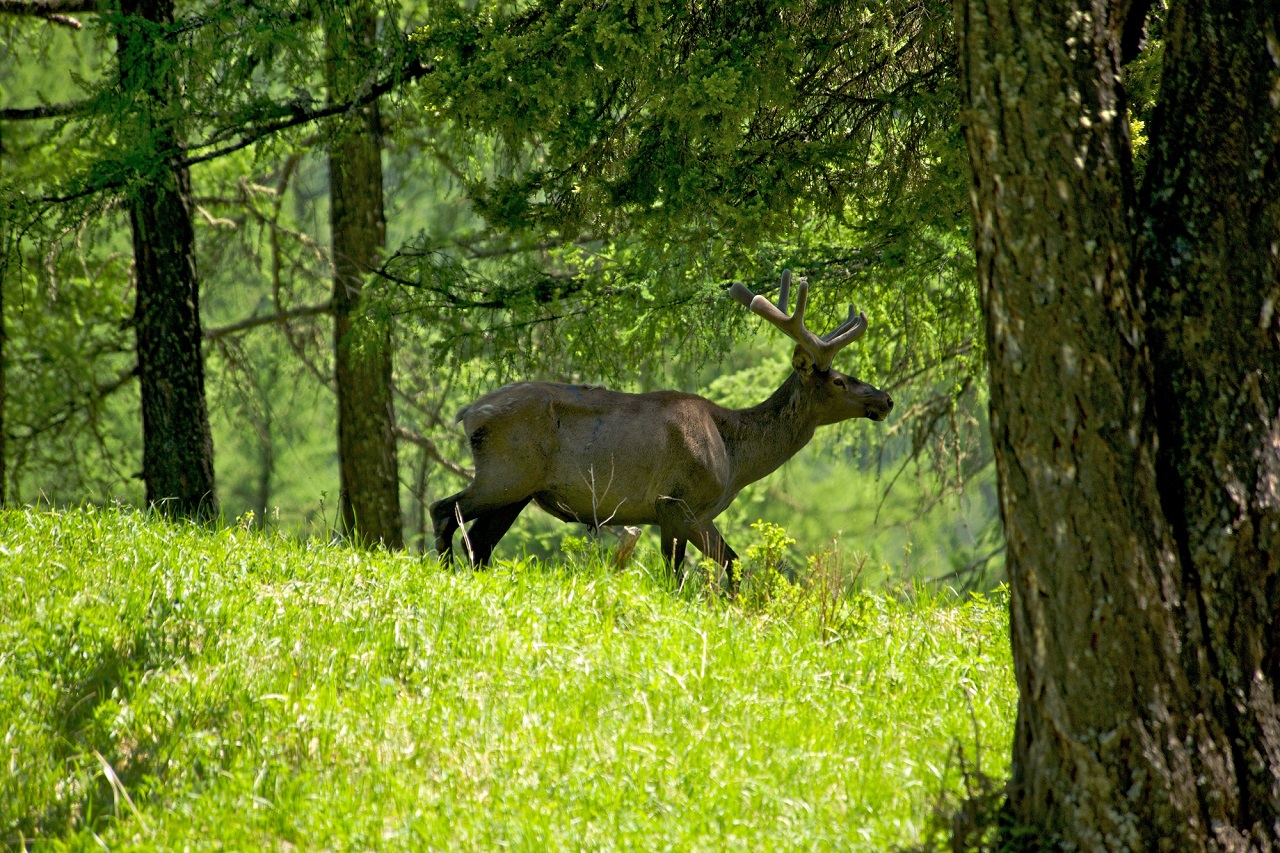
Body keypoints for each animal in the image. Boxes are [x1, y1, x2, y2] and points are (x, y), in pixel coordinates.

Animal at [430, 268, 890, 589]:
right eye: (839, 381)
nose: (885, 399)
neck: (734, 457)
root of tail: (468, 413)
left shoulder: (700, 514)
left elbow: (734, 562)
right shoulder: (674, 501)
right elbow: (675, 575)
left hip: (518, 490)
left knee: (480, 542)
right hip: (505, 472)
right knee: (444, 510)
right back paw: (441, 570)